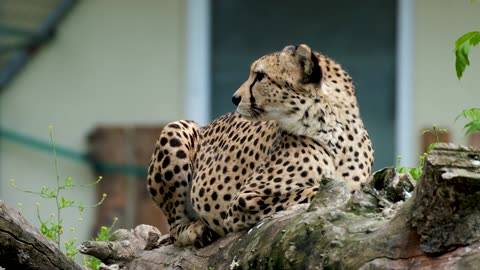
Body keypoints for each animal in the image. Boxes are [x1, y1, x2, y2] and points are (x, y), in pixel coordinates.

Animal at [146, 43, 376, 247]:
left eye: (260, 76)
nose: (234, 98)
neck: (331, 128)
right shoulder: (243, 200)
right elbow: (310, 191)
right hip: (177, 128)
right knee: (175, 229)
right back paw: (197, 230)